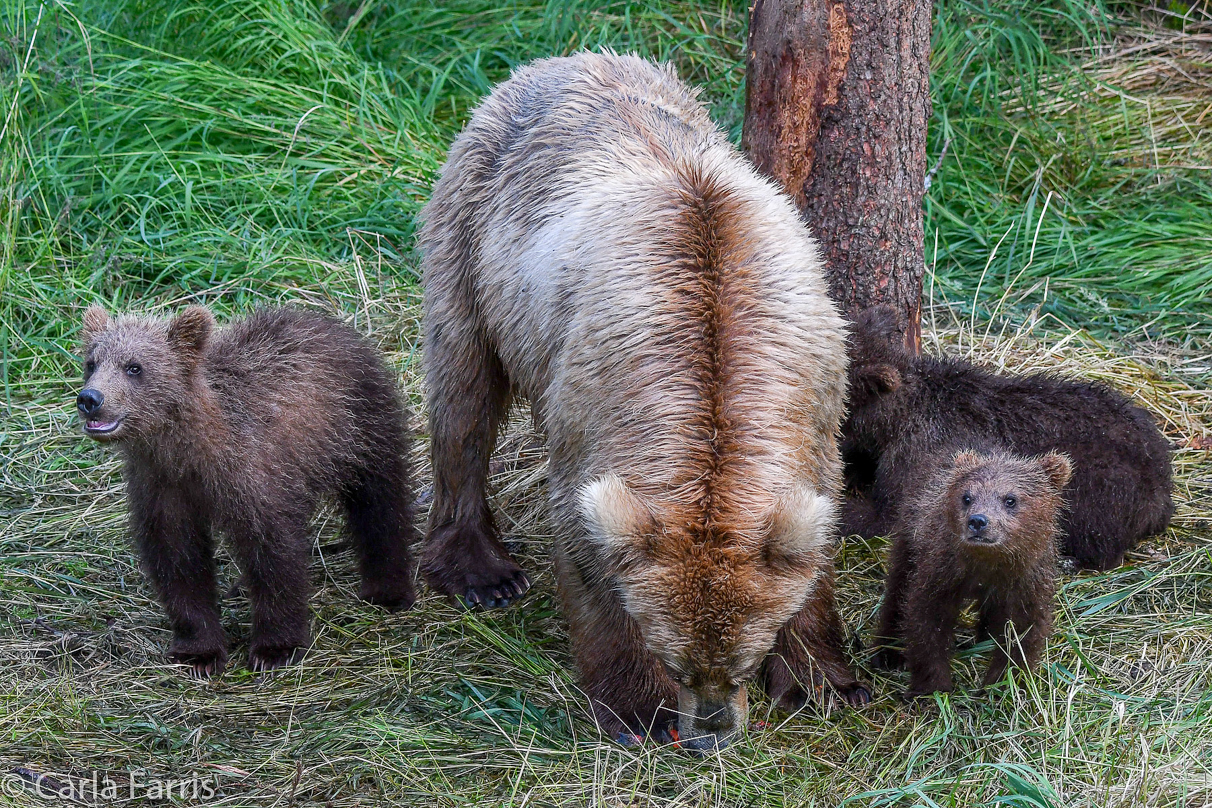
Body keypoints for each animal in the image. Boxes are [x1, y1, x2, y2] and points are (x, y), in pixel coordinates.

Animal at [421, 52, 867, 751]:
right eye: (677, 662)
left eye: (741, 665)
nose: (711, 732)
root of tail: (562, 59)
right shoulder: (596, 409)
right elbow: (590, 548)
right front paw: (638, 711)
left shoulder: (816, 396)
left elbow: (812, 537)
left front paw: (824, 680)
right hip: (471, 243)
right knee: (463, 394)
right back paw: (482, 573)